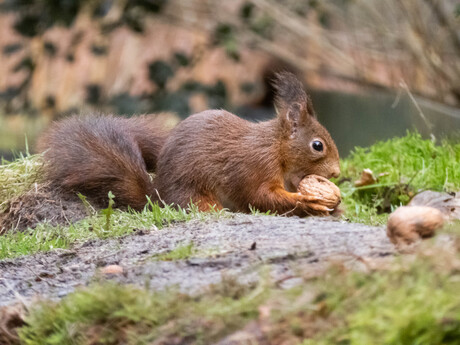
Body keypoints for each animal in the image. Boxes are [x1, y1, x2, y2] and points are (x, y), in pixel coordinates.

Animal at [37, 72, 340, 215]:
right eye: (318, 145)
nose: (337, 173)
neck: (276, 149)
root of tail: (158, 198)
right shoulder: (255, 166)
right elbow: (260, 195)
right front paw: (307, 201)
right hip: (195, 195)